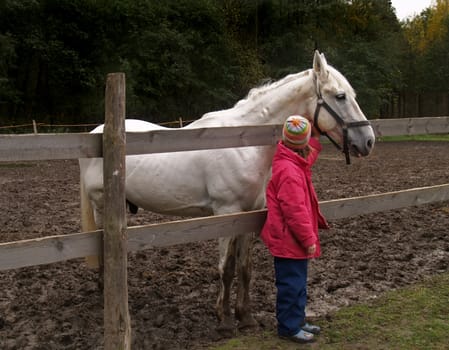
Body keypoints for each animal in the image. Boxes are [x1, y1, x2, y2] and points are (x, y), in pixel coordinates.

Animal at [79, 50, 374, 330]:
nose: (368, 141)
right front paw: (224, 319)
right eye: (340, 96)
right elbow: (227, 268)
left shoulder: (249, 215)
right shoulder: (226, 214)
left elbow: (245, 268)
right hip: (101, 205)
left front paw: (246, 317)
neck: (243, 143)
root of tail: (96, 133)